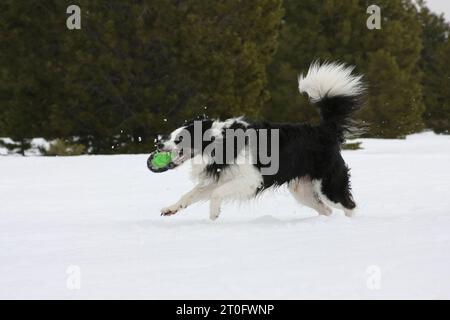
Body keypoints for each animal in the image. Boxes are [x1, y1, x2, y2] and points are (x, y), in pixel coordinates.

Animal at [155, 61, 366, 219]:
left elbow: (216, 193)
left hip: (328, 185)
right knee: (327, 210)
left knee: (350, 206)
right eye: (171, 135)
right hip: (302, 190)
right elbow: (191, 193)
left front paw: (214, 213)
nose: (159, 143)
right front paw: (171, 208)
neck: (219, 142)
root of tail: (325, 130)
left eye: (179, 139)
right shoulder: (222, 176)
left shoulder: (250, 179)